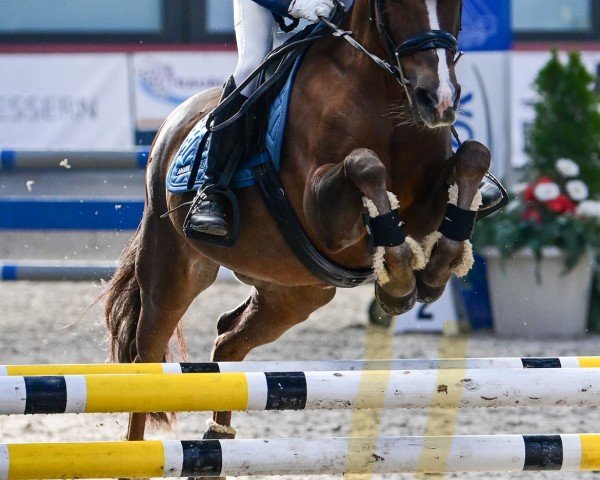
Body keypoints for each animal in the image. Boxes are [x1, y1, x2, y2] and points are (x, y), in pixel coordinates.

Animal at [105, 0, 490, 450]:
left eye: (455, 5)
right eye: (396, 5)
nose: (440, 100)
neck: (383, 95)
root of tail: (170, 126)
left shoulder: (422, 206)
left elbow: (474, 155)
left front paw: (433, 270)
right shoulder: (324, 216)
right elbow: (365, 164)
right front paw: (396, 279)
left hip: (294, 291)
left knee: (229, 338)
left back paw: (218, 432)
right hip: (172, 269)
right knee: (146, 358)